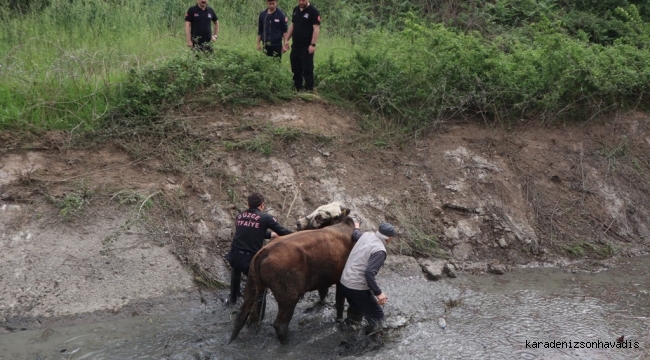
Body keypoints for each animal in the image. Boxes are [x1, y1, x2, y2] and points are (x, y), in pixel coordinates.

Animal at [229, 215, 354, 344]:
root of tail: (265, 251)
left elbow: (323, 292)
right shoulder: (341, 280)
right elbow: (339, 302)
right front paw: (339, 320)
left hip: (251, 283)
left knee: (241, 315)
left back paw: (232, 340)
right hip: (289, 295)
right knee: (280, 324)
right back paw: (287, 341)